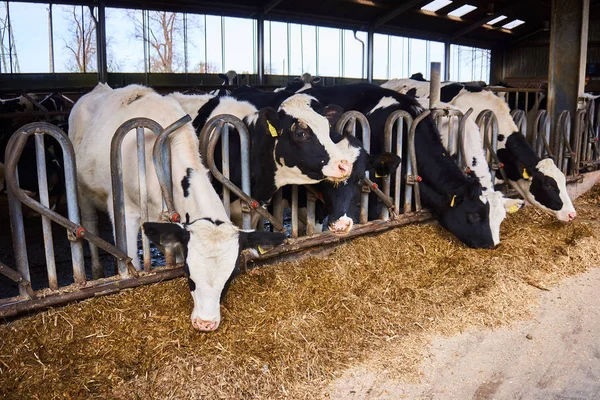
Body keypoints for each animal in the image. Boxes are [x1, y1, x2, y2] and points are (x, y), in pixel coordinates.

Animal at [68, 82, 286, 332]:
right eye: (189, 274)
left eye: (231, 275)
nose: (205, 323)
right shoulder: (124, 211)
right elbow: (132, 261)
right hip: (81, 190)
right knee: (89, 223)